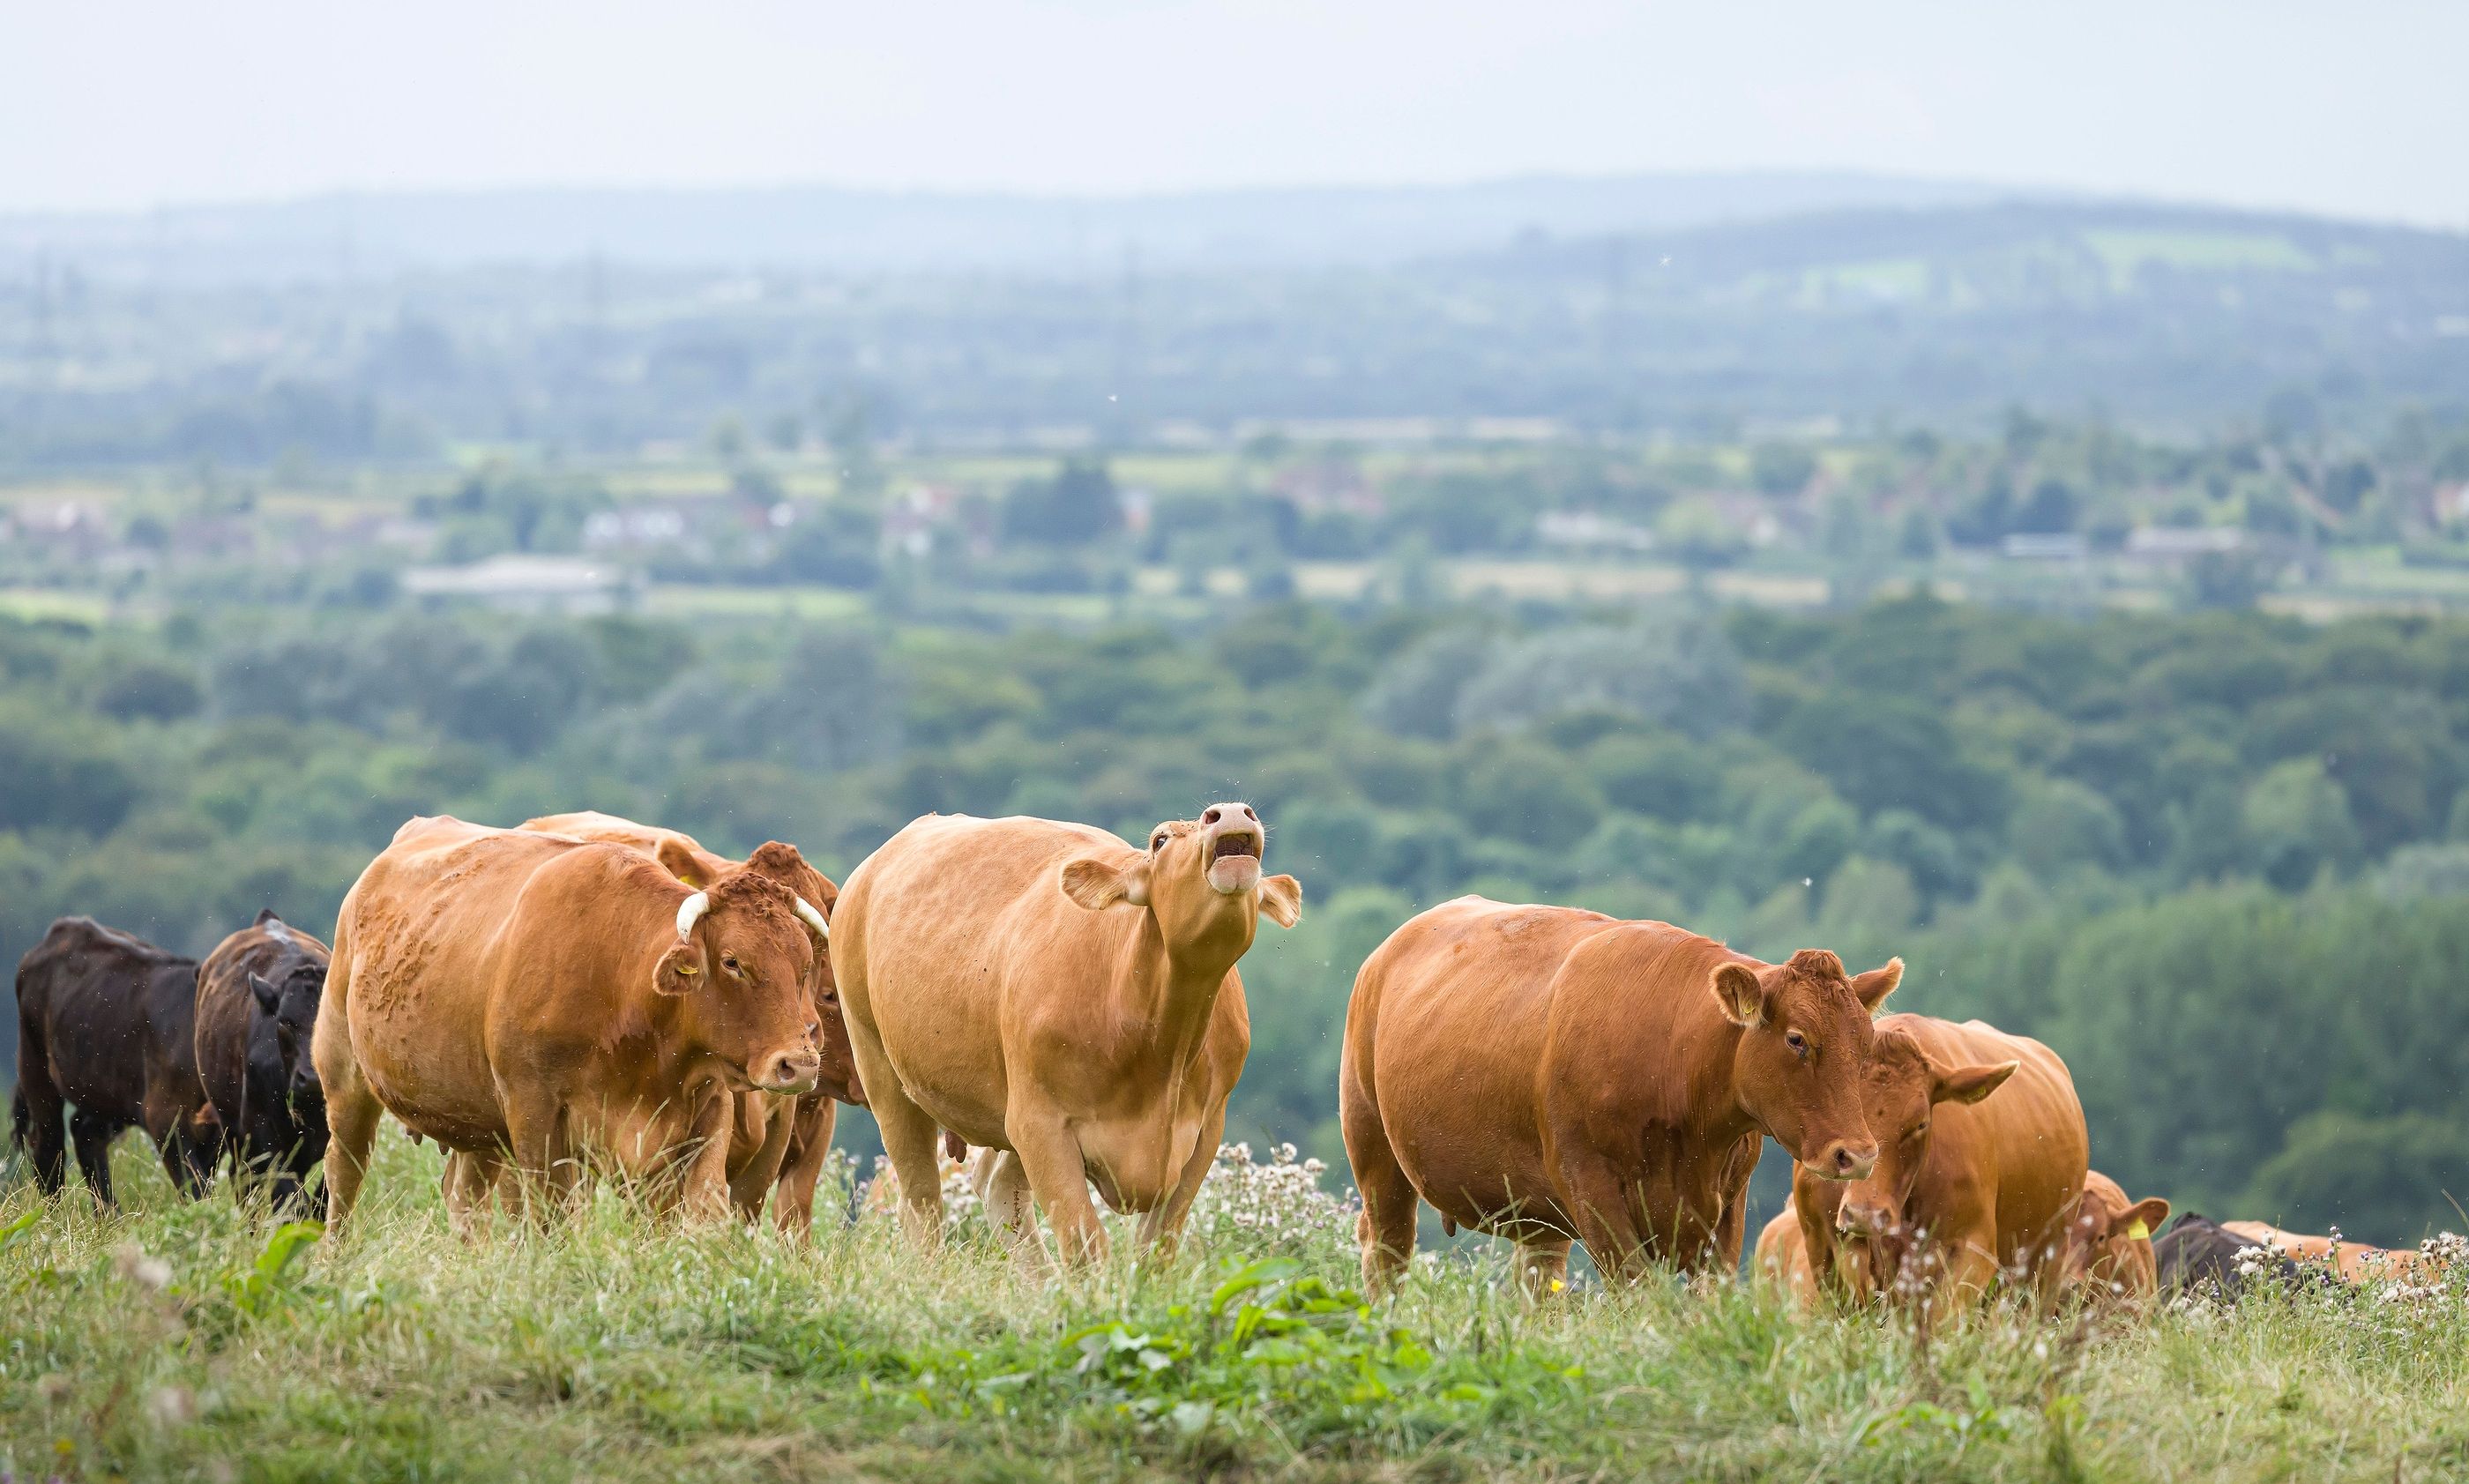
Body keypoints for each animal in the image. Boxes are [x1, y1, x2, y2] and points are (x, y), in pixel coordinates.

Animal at [11, 918, 220, 1210]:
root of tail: (65, 928)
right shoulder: (164, 1117)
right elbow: (196, 1186)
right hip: (35, 1065)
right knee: (48, 1147)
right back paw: (54, 1214)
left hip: (110, 1087)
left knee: (85, 1132)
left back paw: (110, 1214)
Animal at [193, 903, 333, 1214]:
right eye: (284, 1021)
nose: (312, 1078)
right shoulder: (261, 1134)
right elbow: (290, 1198)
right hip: (233, 1129)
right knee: (244, 1180)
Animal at [1343, 899, 1896, 1294]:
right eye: (1797, 1039)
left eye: (1865, 1040)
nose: (1857, 1155)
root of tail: (1385, 951)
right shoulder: (1591, 1187)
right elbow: (1639, 1292)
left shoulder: (1729, 1202)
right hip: (1375, 1151)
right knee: (1387, 1252)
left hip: (1536, 1213)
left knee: (1537, 1278)